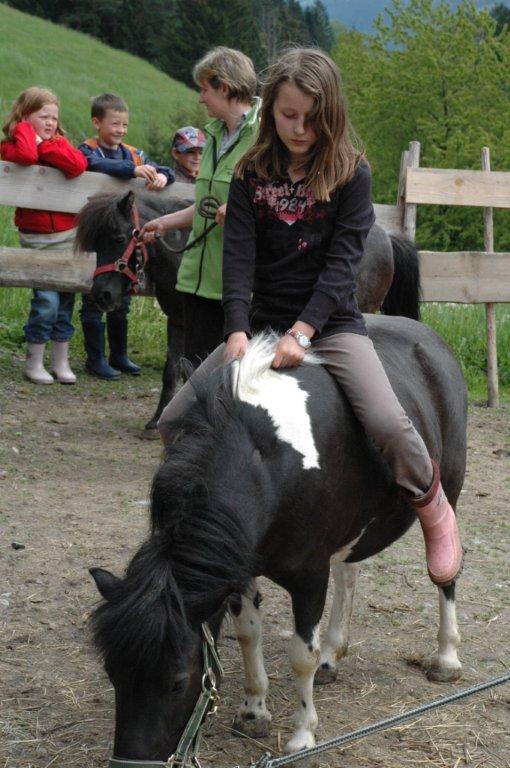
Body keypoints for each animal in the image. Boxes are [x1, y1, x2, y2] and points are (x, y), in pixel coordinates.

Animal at [75, 190, 420, 438]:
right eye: (96, 244)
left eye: (120, 238)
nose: (101, 295)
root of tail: (387, 237)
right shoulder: (178, 319)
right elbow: (172, 369)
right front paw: (157, 420)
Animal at [90, 318, 467, 763]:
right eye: (112, 673)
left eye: (177, 681)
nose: (127, 764)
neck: (263, 462)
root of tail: (428, 337)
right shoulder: (237, 568)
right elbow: (248, 634)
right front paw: (253, 711)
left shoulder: (309, 577)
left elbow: (301, 656)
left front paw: (302, 733)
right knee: (350, 572)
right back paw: (332, 656)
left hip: (448, 487)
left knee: (445, 570)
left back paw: (445, 656)